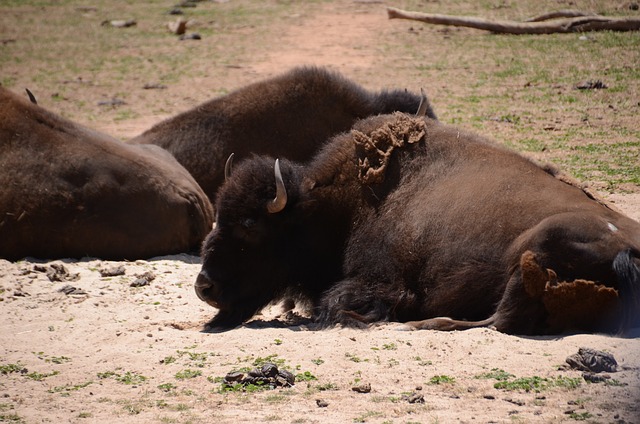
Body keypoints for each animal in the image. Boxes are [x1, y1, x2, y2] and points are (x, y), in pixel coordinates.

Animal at [195, 112, 640, 334]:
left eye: (250, 223)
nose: (204, 287)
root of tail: (627, 250)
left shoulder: (384, 283)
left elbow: (335, 303)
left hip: (539, 244)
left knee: (496, 320)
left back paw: (416, 324)